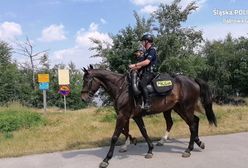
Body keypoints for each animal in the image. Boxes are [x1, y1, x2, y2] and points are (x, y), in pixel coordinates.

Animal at [81, 65, 217, 168]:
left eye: (87, 80)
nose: (83, 98)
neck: (122, 88)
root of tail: (193, 80)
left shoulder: (122, 115)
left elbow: (115, 136)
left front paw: (106, 159)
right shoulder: (134, 116)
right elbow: (142, 131)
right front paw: (148, 149)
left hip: (186, 108)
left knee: (192, 124)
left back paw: (188, 150)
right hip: (179, 108)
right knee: (193, 122)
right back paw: (198, 143)